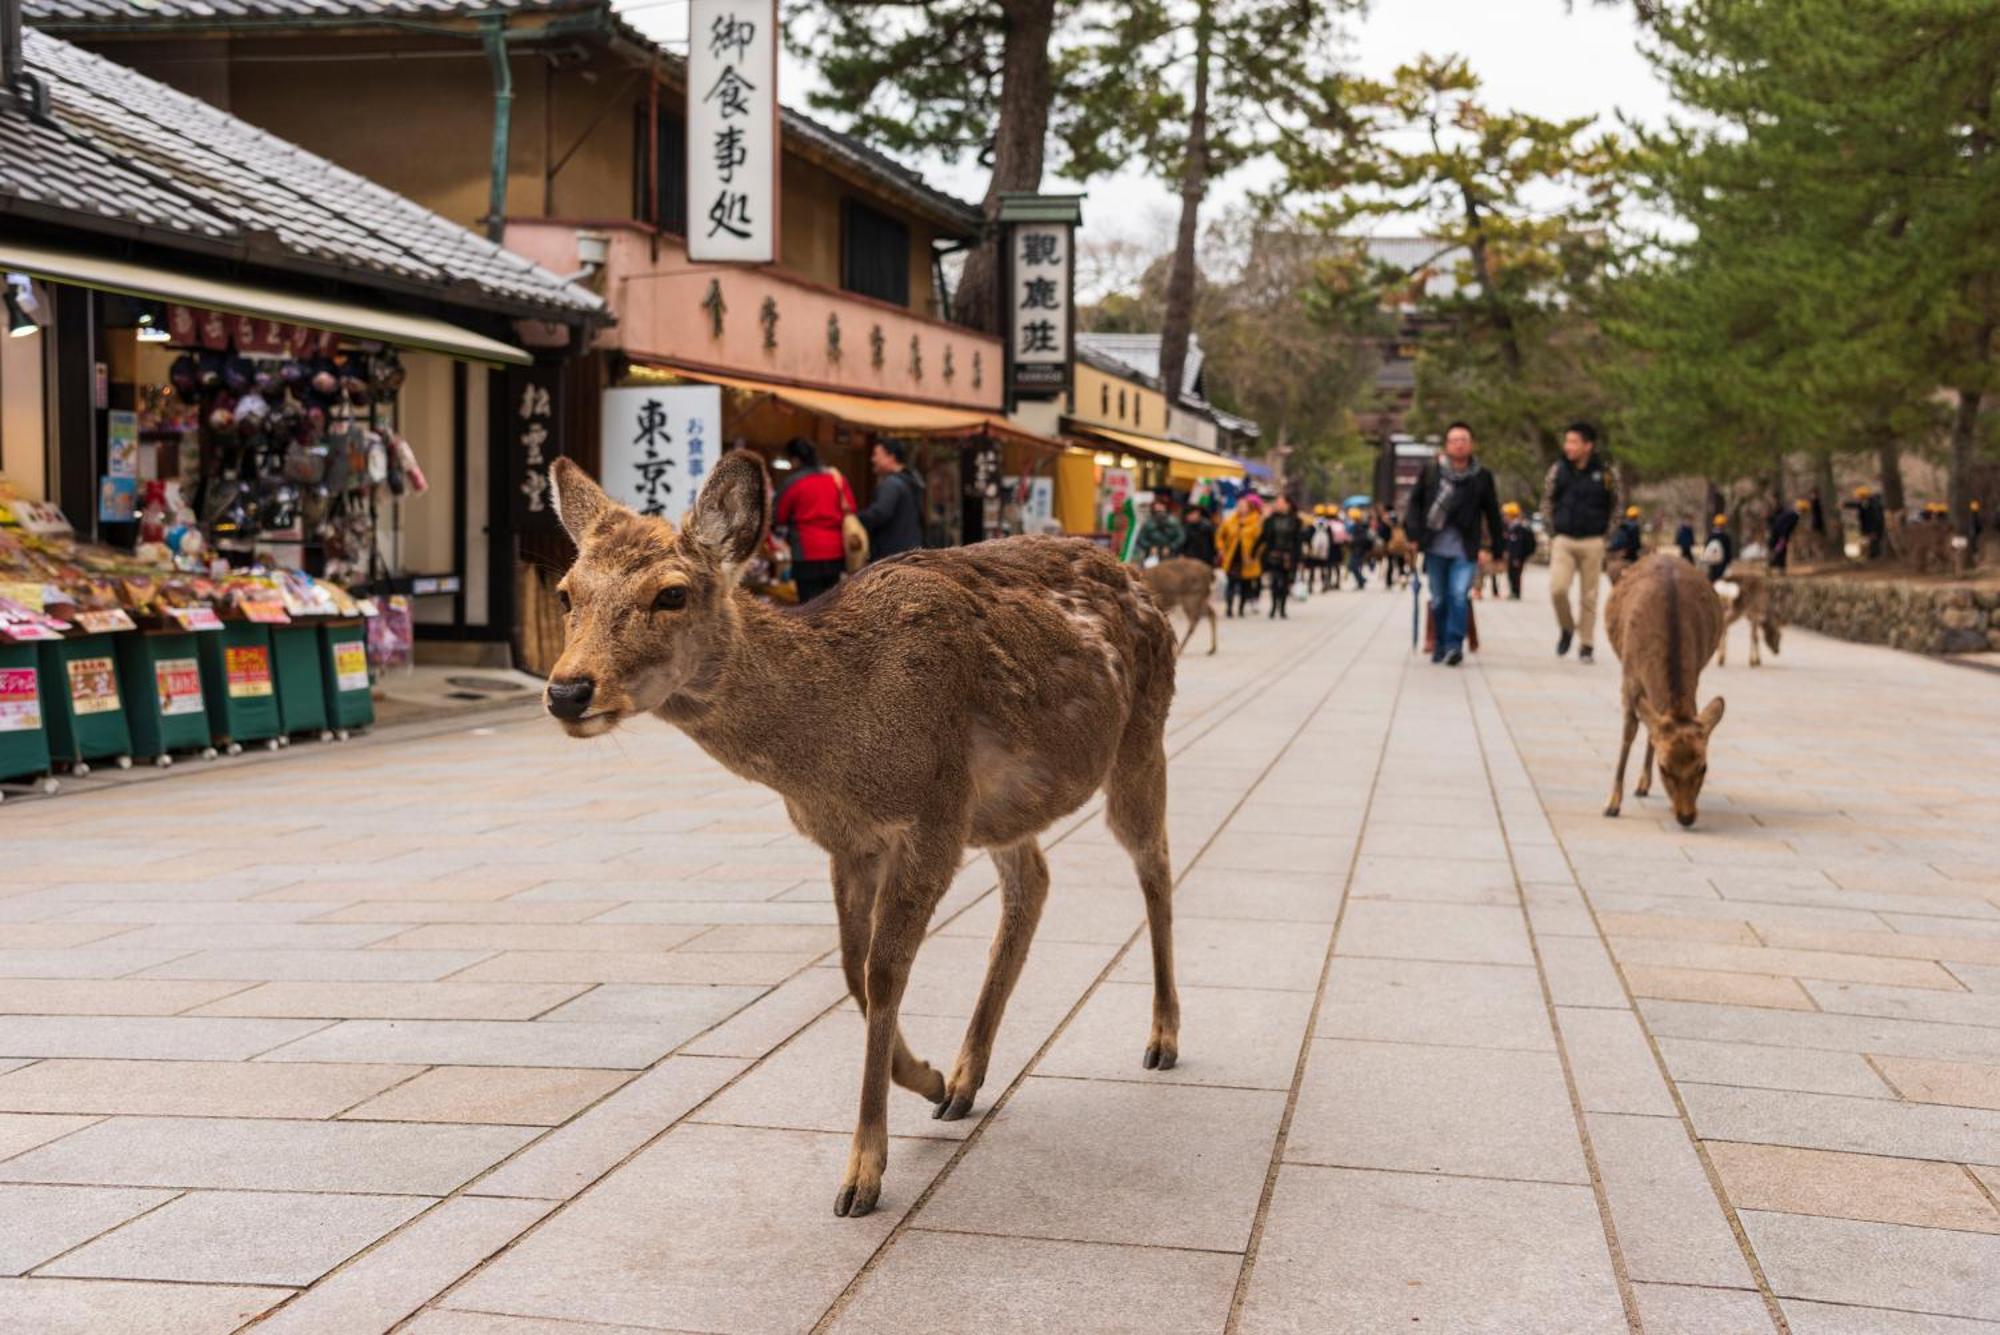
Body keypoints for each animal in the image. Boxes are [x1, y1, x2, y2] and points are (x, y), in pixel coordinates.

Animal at [540, 455, 1176, 1223]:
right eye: (566, 591)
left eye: (671, 593)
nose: (568, 690)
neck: (836, 750)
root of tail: (1141, 581)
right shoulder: (848, 839)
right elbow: (852, 970)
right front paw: (927, 1078)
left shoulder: (930, 818)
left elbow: (884, 971)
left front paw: (862, 1174)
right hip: (1002, 809)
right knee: (1035, 879)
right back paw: (966, 1078)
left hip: (1140, 736)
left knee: (1155, 861)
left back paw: (1162, 1038)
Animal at [1600, 551, 1728, 823]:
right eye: (1664, 767)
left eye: (1703, 766)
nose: (1686, 816)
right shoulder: (1629, 677)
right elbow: (1629, 733)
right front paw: (1612, 804)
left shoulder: (1696, 671)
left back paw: (1643, 785)